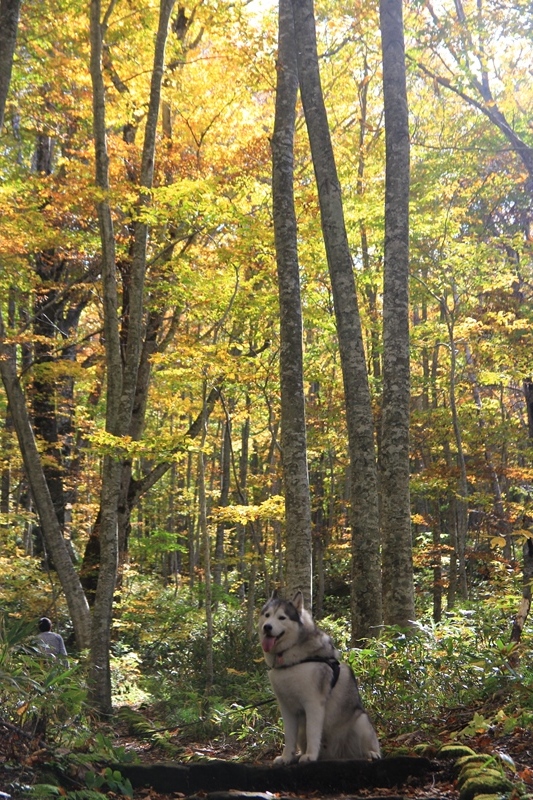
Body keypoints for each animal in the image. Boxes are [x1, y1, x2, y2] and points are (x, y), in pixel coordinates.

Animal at [258, 592, 378, 764]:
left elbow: (312, 732)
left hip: (361, 721)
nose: (267, 627)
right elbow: (289, 736)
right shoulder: (286, 708)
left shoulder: (313, 703)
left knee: (367, 747)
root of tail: (335, 754)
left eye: (282, 617)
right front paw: (287, 757)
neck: (291, 660)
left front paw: (310, 755)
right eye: (267, 615)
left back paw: (371, 753)